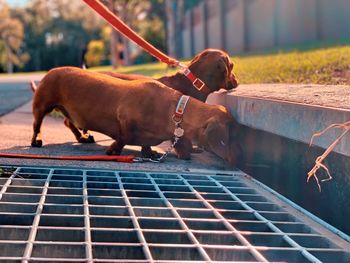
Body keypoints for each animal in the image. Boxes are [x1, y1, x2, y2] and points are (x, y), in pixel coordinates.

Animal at [30, 67, 241, 166]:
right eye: (226, 139)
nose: (234, 162)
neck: (174, 110)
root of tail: (51, 71)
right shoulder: (124, 118)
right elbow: (124, 136)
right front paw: (113, 150)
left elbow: (145, 144)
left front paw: (149, 153)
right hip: (42, 105)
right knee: (37, 124)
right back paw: (37, 141)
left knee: (69, 122)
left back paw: (82, 137)